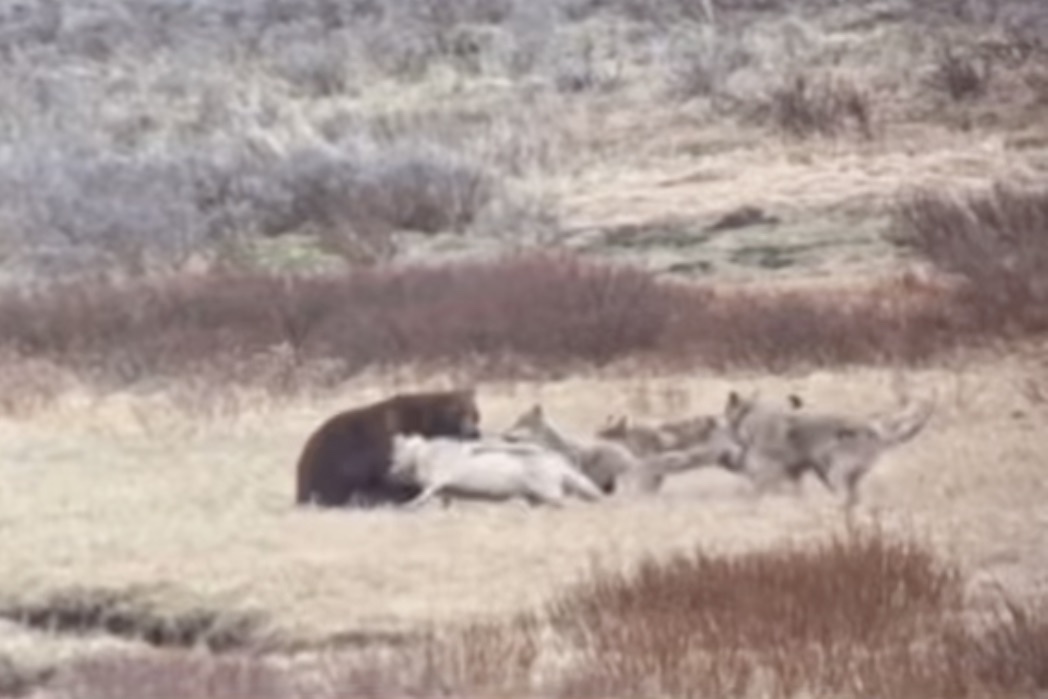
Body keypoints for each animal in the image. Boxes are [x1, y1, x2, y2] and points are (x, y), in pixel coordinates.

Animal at [389, 433, 605, 509]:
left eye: (399, 456)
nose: (390, 470)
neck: (423, 454)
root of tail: (557, 460)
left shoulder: (436, 482)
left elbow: (422, 497)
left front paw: (406, 506)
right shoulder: (443, 491)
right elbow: (443, 501)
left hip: (550, 493)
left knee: (566, 503)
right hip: (537, 497)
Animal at [721, 390, 936, 509]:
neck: (750, 414)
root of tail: (874, 431)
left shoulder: (770, 471)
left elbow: (759, 491)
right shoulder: (796, 471)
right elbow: (797, 493)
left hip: (835, 473)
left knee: (845, 498)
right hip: (840, 475)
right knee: (853, 499)